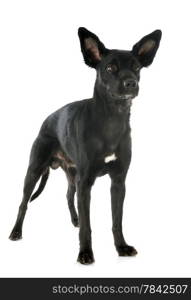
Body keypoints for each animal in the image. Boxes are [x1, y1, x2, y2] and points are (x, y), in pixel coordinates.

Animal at [8, 27, 161, 264]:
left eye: (136, 68)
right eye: (110, 68)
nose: (131, 83)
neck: (112, 119)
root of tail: (46, 120)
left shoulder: (118, 182)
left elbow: (117, 220)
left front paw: (121, 247)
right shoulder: (86, 182)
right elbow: (88, 226)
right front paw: (85, 253)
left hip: (73, 176)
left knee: (69, 195)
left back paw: (75, 219)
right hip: (34, 171)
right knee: (23, 203)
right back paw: (16, 232)